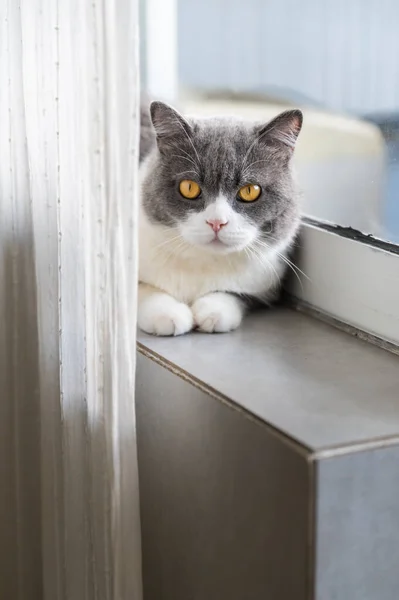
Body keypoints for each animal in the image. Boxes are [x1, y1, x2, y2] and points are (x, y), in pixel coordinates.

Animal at [138, 96, 304, 336]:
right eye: (189, 187)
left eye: (250, 190)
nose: (216, 222)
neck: (204, 260)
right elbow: (142, 288)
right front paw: (167, 314)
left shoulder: (265, 281)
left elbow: (236, 294)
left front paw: (213, 311)